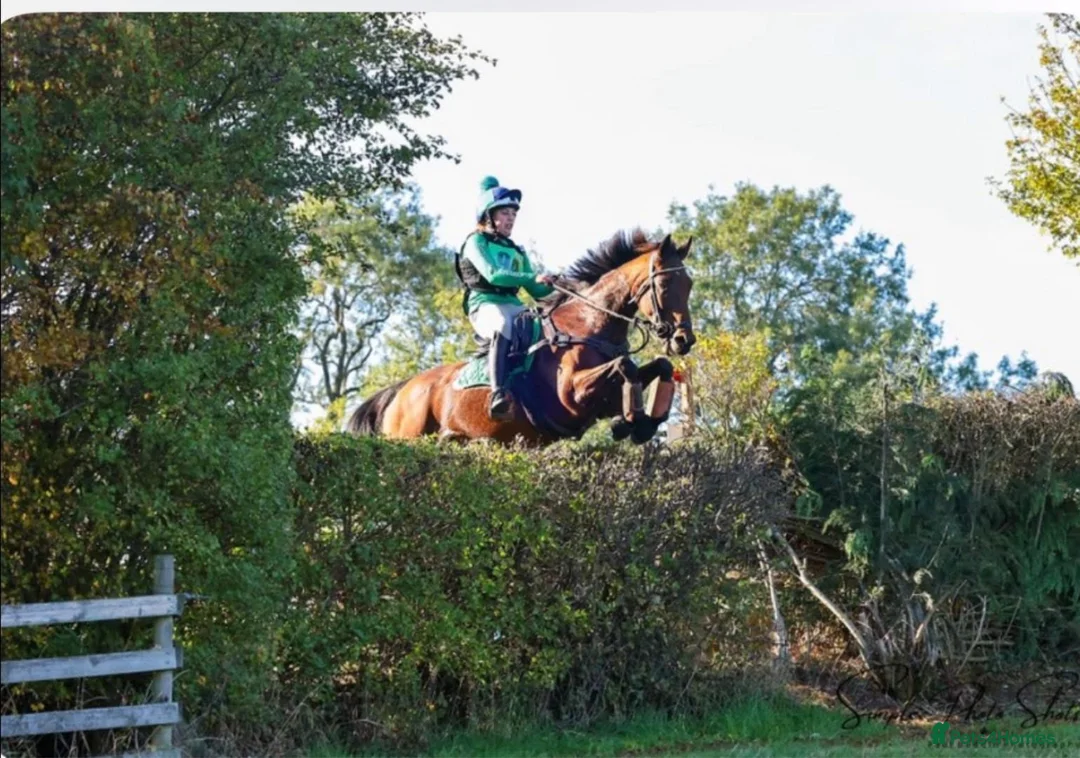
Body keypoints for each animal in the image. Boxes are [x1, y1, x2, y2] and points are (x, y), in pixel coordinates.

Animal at [346, 228, 696, 446]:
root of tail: (402, 390)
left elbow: (660, 366)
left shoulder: (603, 400)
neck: (588, 324)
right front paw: (632, 419)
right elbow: (626, 365)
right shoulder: (571, 396)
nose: (684, 340)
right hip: (407, 436)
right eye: (665, 285)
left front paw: (643, 423)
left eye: (689, 284)